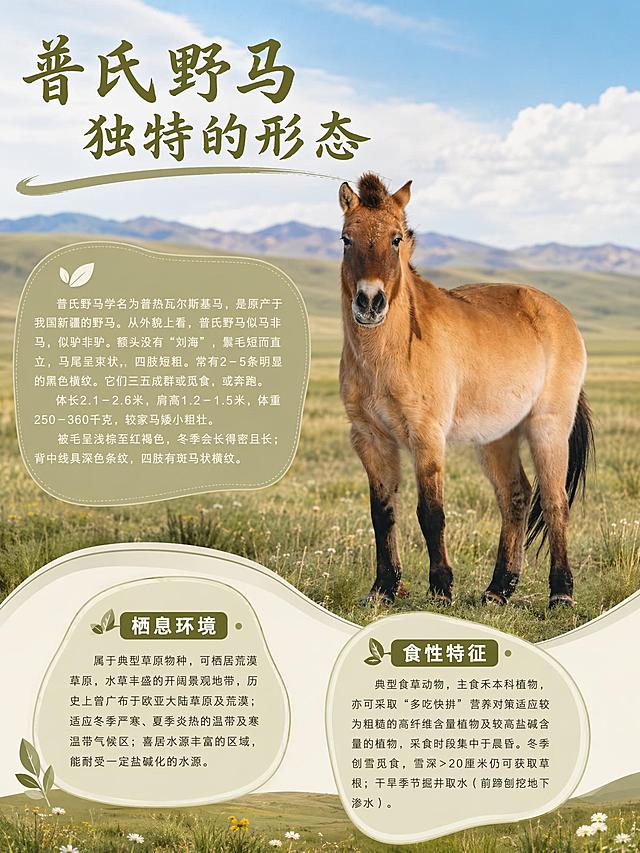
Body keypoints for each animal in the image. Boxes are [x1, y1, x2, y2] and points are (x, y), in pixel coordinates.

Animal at [338, 172, 594, 608]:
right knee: (516, 496)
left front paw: (441, 588)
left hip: (548, 427)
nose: (369, 302)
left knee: (555, 501)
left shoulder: (426, 436)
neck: (386, 355)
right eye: (345, 239)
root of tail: (559, 312)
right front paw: (382, 589)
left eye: (396, 238)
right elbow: (382, 513)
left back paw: (561, 593)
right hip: (498, 437)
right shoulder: (369, 438)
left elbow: (431, 513)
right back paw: (498, 589)